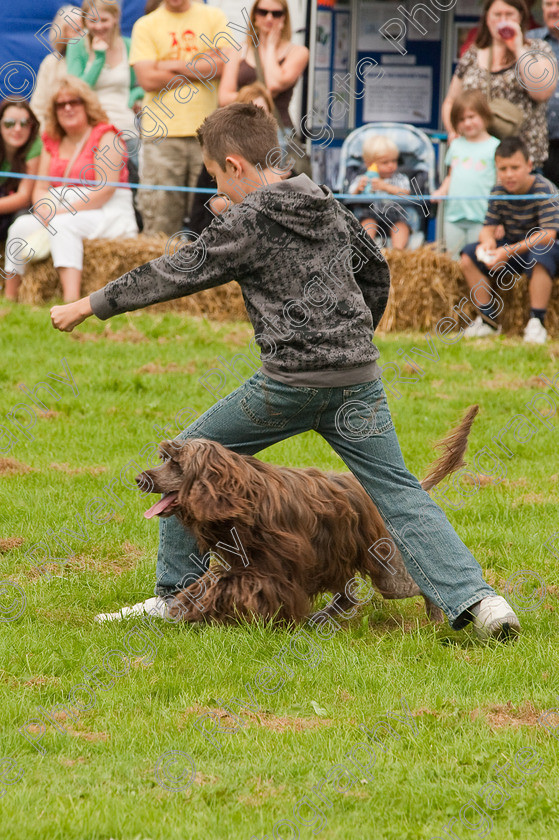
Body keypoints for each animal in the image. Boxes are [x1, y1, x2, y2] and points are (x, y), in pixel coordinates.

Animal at [135, 406, 476, 624]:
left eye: (176, 464)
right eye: (164, 459)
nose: (141, 478)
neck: (241, 495)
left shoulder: (273, 568)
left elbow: (226, 582)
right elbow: (217, 579)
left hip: (387, 565)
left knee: (418, 586)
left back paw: (437, 616)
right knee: (347, 594)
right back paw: (322, 618)